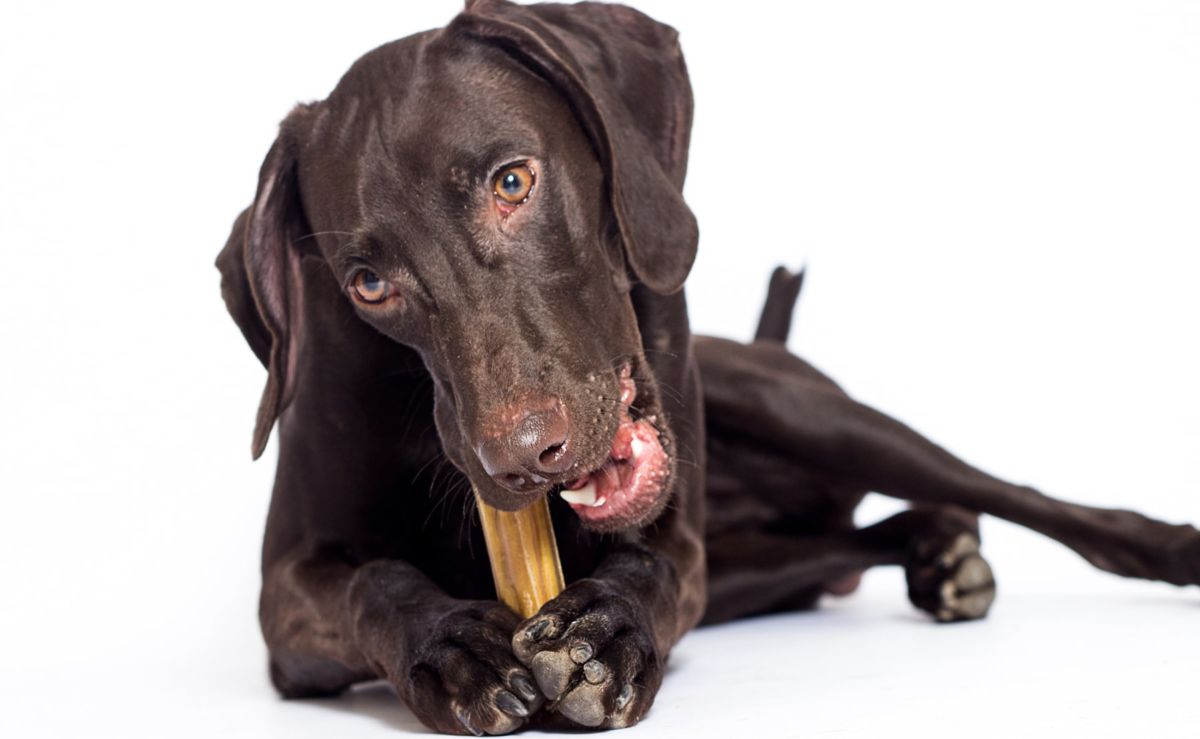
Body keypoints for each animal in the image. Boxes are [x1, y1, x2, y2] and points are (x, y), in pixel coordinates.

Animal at [218, 0, 1200, 734]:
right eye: (368, 283)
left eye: (512, 181)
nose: (520, 459)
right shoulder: (284, 606)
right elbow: (372, 580)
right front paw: (450, 646)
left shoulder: (683, 551)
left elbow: (653, 568)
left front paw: (609, 631)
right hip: (753, 566)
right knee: (861, 542)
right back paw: (936, 556)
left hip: (809, 415)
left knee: (1015, 496)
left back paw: (1157, 545)